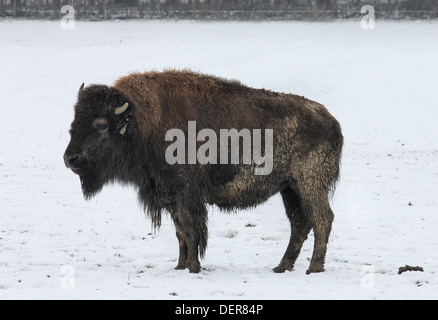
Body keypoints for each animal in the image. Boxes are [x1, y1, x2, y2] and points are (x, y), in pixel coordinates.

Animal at [63, 70, 342, 276]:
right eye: (74, 120)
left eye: (101, 125)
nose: (70, 159)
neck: (143, 123)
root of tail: (332, 122)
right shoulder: (171, 197)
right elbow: (180, 233)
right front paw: (180, 266)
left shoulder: (187, 197)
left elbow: (191, 230)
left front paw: (193, 267)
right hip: (289, 188)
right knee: (299, 223)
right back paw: (281, 267)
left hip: (309, 185)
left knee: (322, 219)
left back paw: (313, 269)